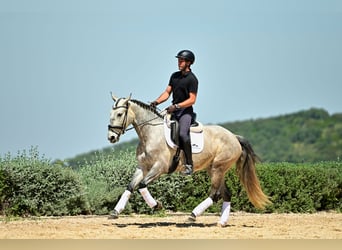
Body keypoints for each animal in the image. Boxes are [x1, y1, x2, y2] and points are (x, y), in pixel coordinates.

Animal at [107, 94, 270, 227]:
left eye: (120, 114)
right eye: (110, 114)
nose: (111, 137)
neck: (151, 134)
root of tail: (234, 137)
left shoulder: (159, 168)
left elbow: (141, 186)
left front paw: (157, 205)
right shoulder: (142, 167)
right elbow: (130, 186)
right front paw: (115, 212)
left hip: (218, 168)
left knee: (215, 194)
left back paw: (193, 215)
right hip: (214, 169)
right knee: (226, 194)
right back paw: (222, 222)